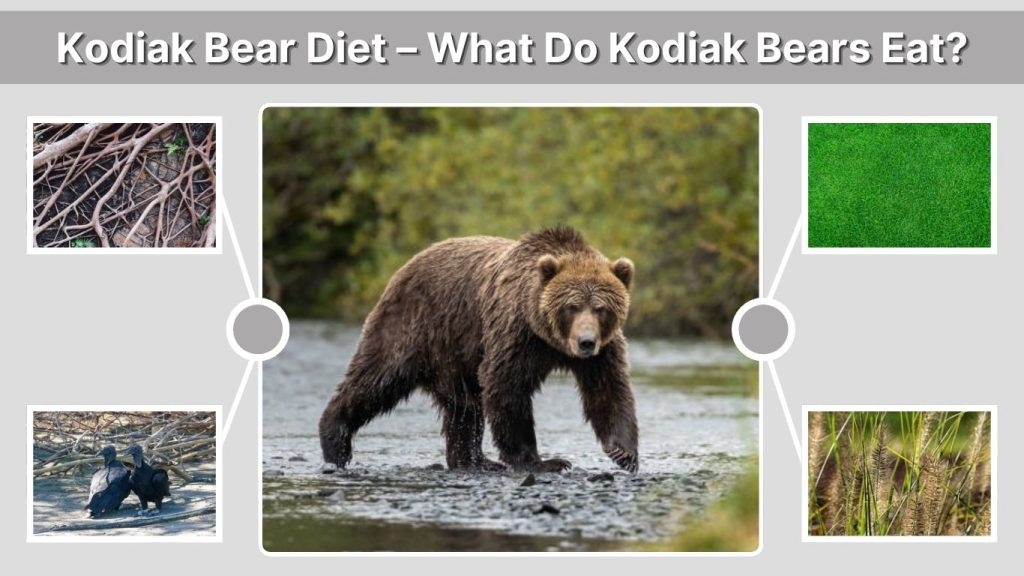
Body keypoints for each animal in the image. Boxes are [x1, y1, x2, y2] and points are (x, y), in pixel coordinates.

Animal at [318, 226, 638, 474]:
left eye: (601, 308)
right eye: (572, 306)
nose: (585, 342)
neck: (549, 339)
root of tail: (406, 265)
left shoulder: (603, 352)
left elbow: (609, 390)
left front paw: (624, 453)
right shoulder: (515, 334)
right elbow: (506, 386)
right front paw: (542, 462)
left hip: (454, 356)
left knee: (464, 407)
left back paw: (474, 461)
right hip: (414, 326)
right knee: (377, 378)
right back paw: (335, 442)